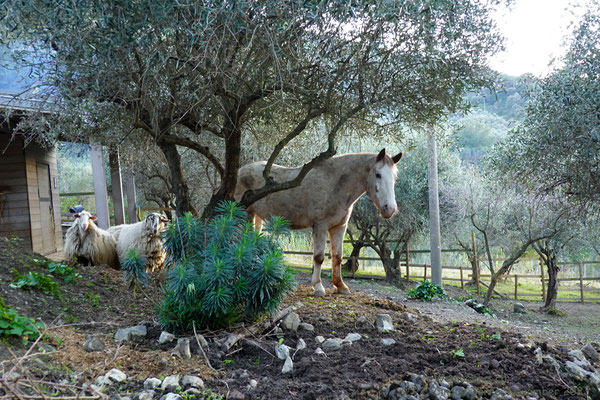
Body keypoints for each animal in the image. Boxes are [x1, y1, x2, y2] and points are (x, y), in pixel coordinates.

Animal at [236, 148, 404, 296]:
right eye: (378, 174)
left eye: (395, 178)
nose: (389, 209)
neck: (336, 184)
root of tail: (240, 170)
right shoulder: (320, 226)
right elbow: (319, 257)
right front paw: (318, 287)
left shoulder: (339, 227)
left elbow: (337, 257)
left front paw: (340, 286)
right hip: (245, 215)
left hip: (256, 217)